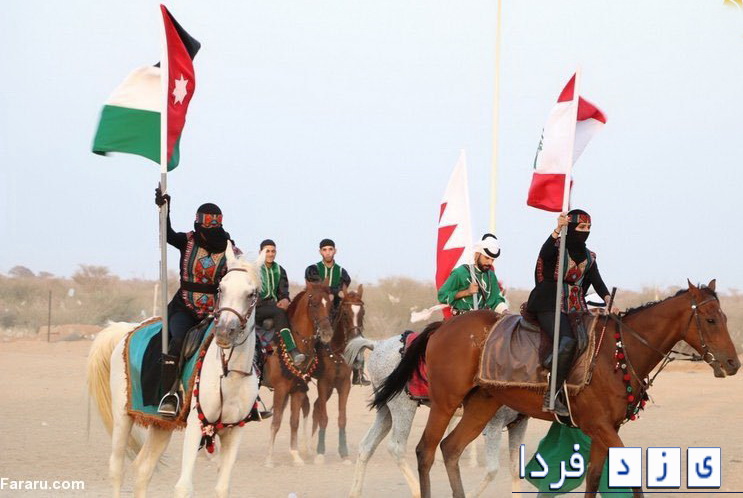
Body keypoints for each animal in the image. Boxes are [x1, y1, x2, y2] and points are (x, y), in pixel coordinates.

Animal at [87, 243, 263, 498]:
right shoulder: (196, 425)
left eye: (251, 294)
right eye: (221, 288)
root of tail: (128, 330)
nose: (224, 332)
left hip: (160, 425)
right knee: (116, 468)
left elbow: (222, 488)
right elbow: (183, 487)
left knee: (143, 469)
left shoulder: (233, 431)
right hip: (122, 417)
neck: (229, 373)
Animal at [263, 280, 334, 467]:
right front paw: (269, 459)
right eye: (314, 303)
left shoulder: (298, 389)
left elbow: (293, 421)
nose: (327, 333)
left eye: (330, 305)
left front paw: (296, 456)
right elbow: (276, 422)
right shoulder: (280, 389)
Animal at [311, 284, 366, 463]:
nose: (356, 338)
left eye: (362, 312)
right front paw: (320, 453)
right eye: (346, 313)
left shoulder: (344, 385)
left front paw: (344, 453)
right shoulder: (323, 383)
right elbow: (324, 418)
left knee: (316, 407)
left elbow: (342, 419)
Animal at [349, 327, 529, 498]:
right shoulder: (493, 424)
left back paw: (356, 493)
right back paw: (417, 490)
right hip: (403, 405)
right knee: (396, 447)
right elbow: (492, 470)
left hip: (386, 408)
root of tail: (377, 345)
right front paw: (470, 493)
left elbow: (515, 470)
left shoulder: (518, 424)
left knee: (367, 445)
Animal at [372, 280, 740, 498]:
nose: (733, 363)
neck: (617, 352)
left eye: (724, 317)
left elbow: (593, 477)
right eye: (710, 320)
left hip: (482, 404)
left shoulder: (604, 429)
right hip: (445, 402)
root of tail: (442, 327)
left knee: (451, 448)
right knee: (425, 451)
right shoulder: (600, 426)